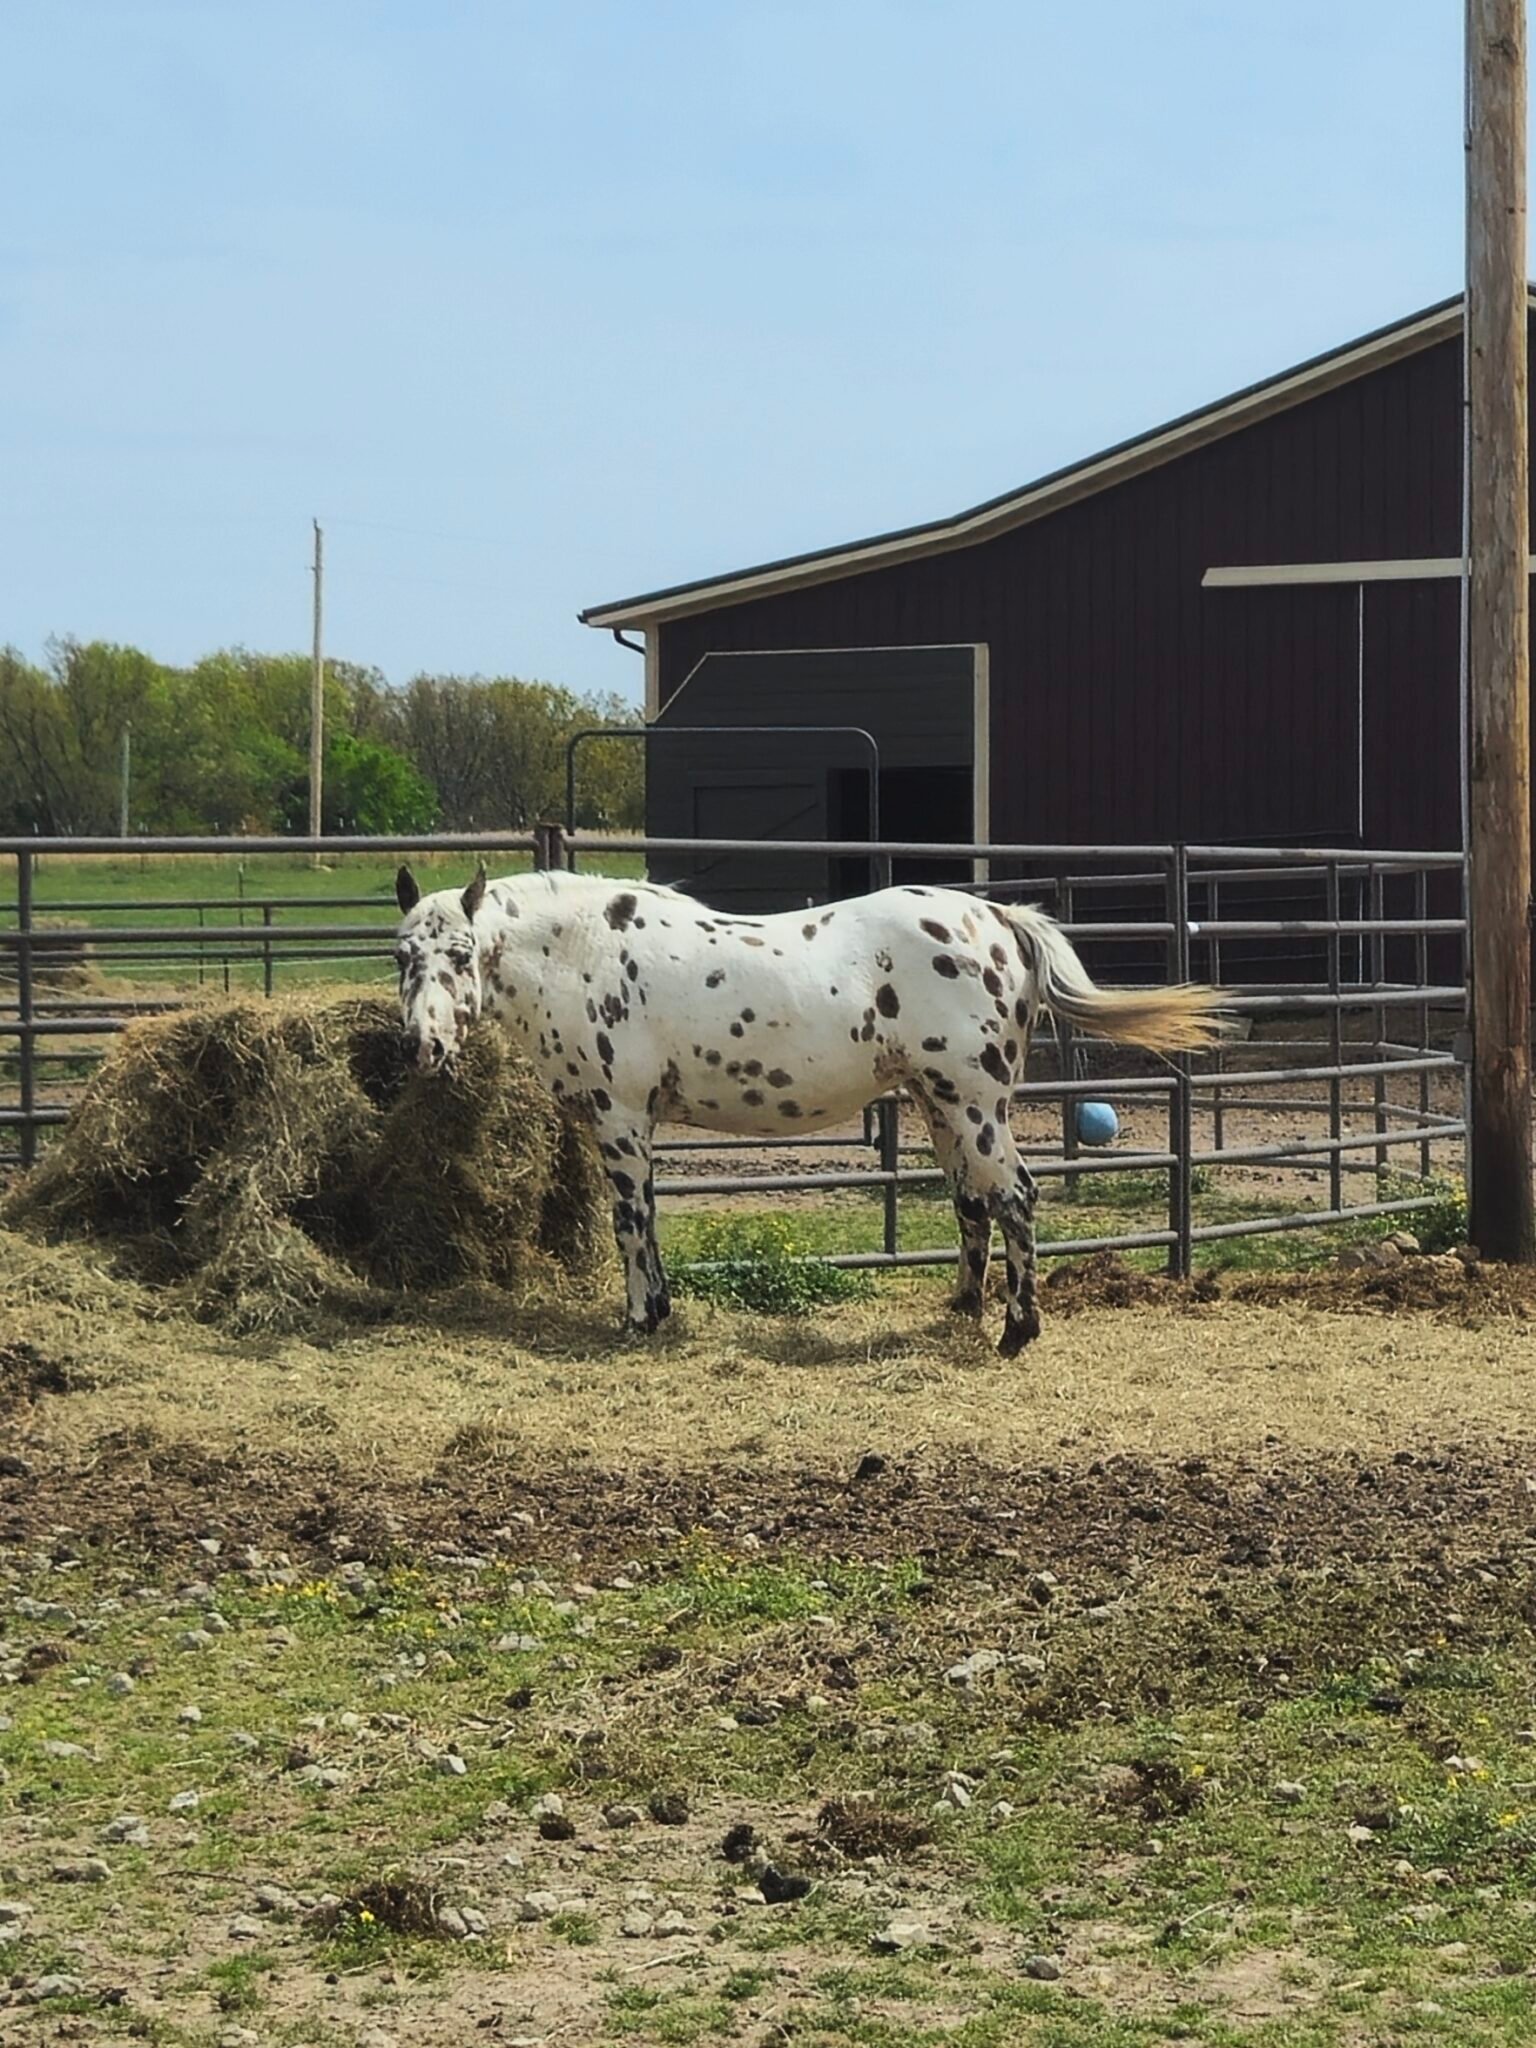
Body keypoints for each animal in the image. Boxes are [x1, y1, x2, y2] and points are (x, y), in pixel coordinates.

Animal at [392, 864, 1227, 1352]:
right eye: (402, 956)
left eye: (461, 955)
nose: (420, 1046)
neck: (586, 952)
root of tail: (997, 921)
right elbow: (650, 1221)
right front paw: (659, 1310)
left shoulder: (620, 1118)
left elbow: (630, 1223)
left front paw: (637, 1319)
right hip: (938, 1103)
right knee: (972, 1202)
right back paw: (962, 1307)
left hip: (975, 1102)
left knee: (1014, 1195)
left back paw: (1018, 1329)